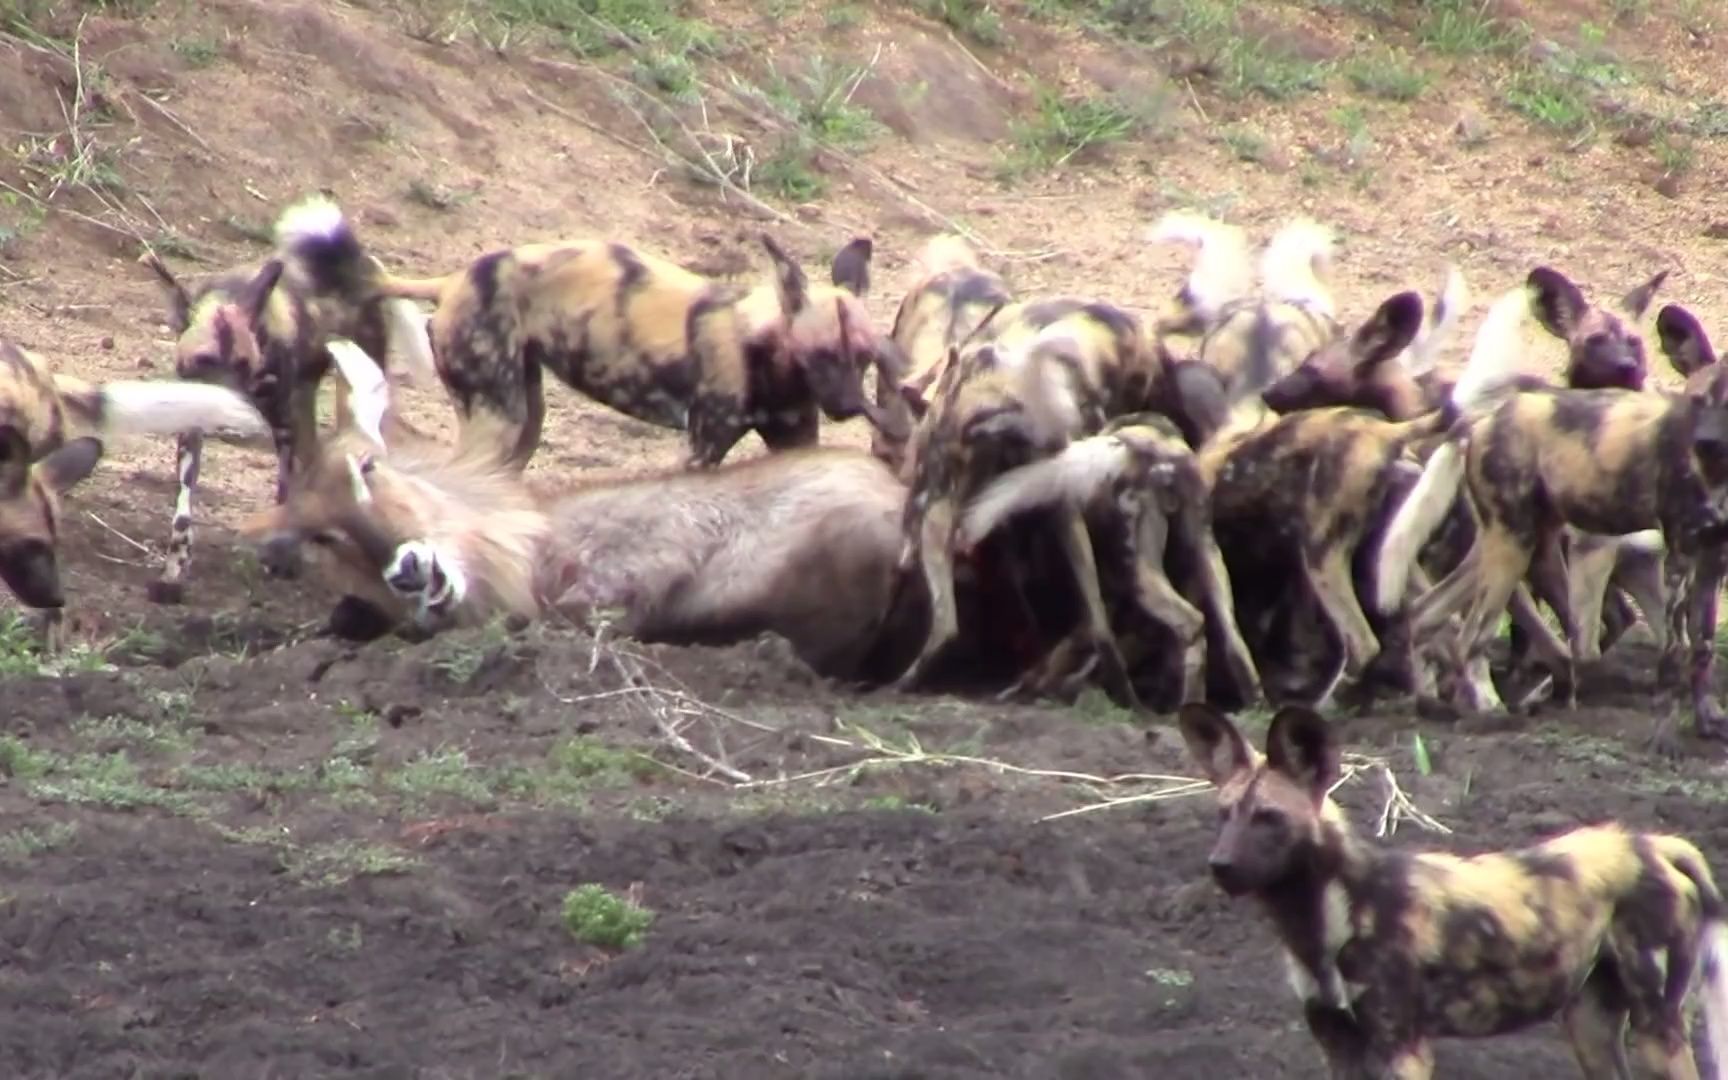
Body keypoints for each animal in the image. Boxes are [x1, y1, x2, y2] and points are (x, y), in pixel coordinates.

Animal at [143, 194, 438, 608]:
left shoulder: (283, 424)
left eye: (243, 364)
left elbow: (285, 487)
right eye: (203, 361)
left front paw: (282, 556)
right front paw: (172, 576)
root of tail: (358, 260)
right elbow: (183, 514)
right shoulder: (192, 424)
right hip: (306, 400)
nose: (226, 420)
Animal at [330, 229, 912, 473]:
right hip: (497, 421)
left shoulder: (796, 441)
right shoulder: (702, 450)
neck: (766, 356)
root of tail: (451, 280)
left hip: (523, 421)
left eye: (863, 358)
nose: (847, 408)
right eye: (821, 355)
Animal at [1181, 698, 1728, 1078]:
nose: (1219, 866)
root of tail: (1651, 842)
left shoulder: (1403, 1048)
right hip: (1591, 1028)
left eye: (1269, 818)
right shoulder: (1339, 1045)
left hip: (1658, 1028)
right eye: (1224, 815)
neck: (1321, 919)